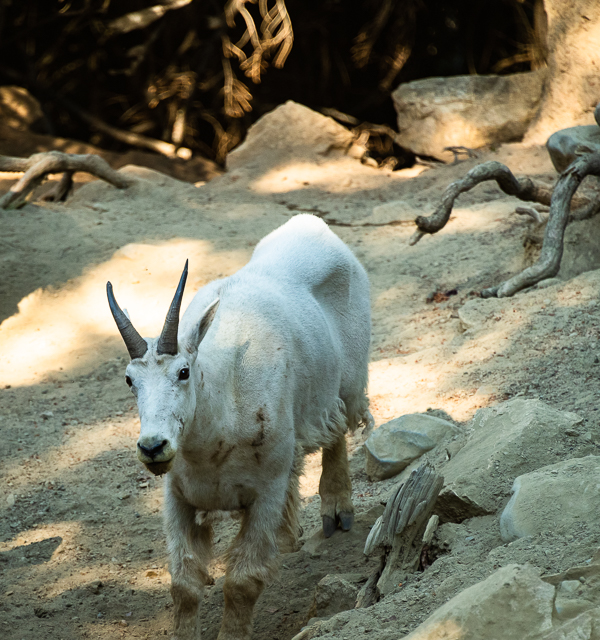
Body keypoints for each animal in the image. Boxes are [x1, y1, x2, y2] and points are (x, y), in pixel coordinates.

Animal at [106, 214, 371, 640]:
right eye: (130, 380)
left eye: (183, 372)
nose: (152, 447)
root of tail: (312, 224)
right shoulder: (178, 494)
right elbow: (184, 585)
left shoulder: (266, 491)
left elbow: (242, 582)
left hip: (349, 378)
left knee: (338, 428)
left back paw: (336, 511)